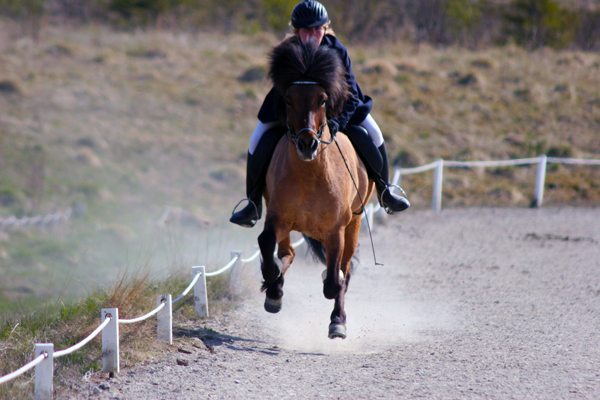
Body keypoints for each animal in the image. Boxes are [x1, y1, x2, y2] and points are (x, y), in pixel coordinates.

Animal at [258, 37, 376, 340]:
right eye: (288, 100)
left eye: (323, 100)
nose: (307, 144)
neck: (309, 174)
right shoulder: (278, 217)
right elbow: (266, 243)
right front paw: (273, 288)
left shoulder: (336, 230)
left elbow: (335, 280)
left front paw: (337, 317)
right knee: (287, 253)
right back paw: (275, 287)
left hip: (354, 224)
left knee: (344, 269)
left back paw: (338, 321)